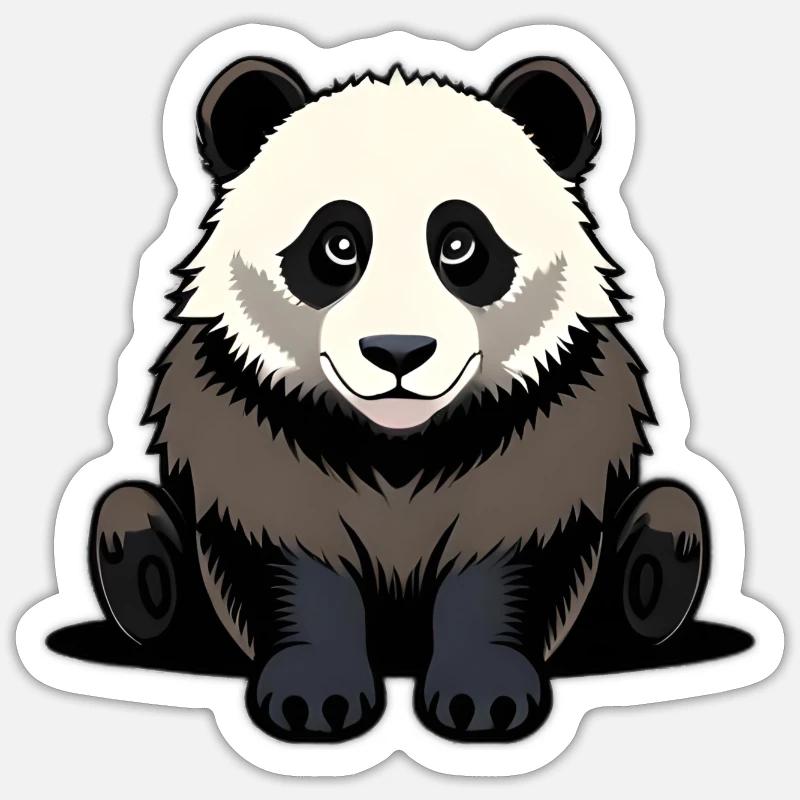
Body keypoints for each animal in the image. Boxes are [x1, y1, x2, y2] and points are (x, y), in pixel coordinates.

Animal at [89, 56, 708, 743]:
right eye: (338, 245)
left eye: (460, 244)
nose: (398, 352)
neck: (398, 442)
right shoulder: (249, 424)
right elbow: (287, 555)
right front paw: (314, 698)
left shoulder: (549, 425)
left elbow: (509, 555)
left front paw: (484, 698)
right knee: (128, 515)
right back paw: (143, 584)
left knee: (670, 516)